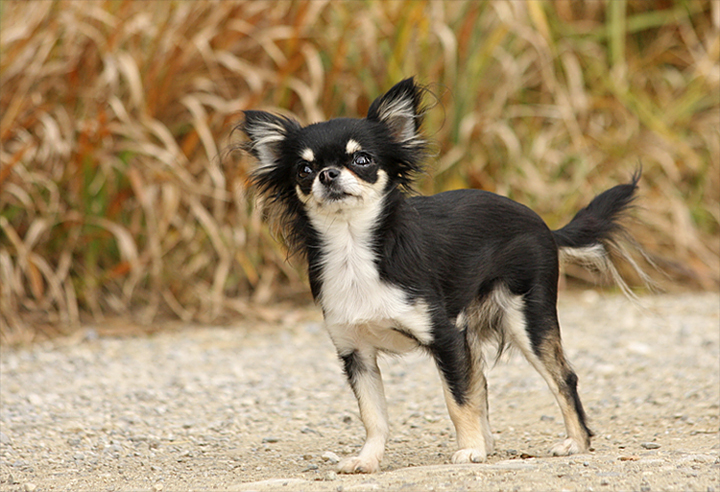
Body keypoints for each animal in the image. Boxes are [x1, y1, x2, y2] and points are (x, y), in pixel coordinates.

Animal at [239, 79, 644, 474]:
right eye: (304, 170)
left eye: (362, 159)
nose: (328, 174)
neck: (353, 247)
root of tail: (543, 224)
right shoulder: (356, 353)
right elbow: (374, 415)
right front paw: (367, 459)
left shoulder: (445, 337)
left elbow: (457, 399)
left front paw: (468, 450)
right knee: (481, 381)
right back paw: (490, 443)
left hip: (526, 317)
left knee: (561, 377)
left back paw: (575, 442)